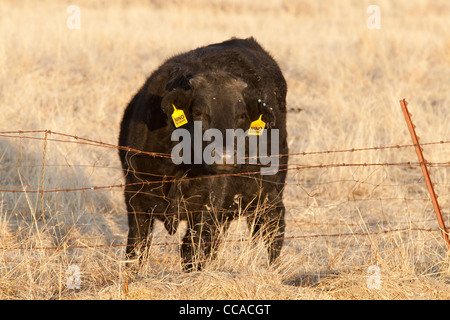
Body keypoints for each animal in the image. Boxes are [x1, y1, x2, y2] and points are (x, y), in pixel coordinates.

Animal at [119, 37, 288, 272]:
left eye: (241, 115)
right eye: (198, 112)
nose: (225, 157)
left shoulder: (207, 206)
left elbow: (192, 251)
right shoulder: (135, 199)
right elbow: (136, 249)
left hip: (270, 188)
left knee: (272, 225)